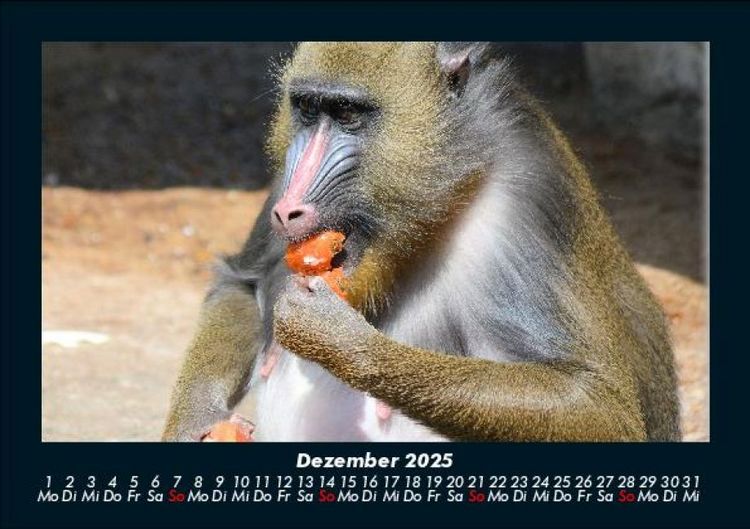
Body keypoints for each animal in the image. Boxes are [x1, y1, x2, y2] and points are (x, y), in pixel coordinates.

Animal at [162, 42, 680, 442]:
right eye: (308, 109)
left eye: (347, 113)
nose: (289, 209)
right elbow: (241, 284)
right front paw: (198, 424)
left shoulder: (528, 200)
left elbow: (599, 407)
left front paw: (343, 341)